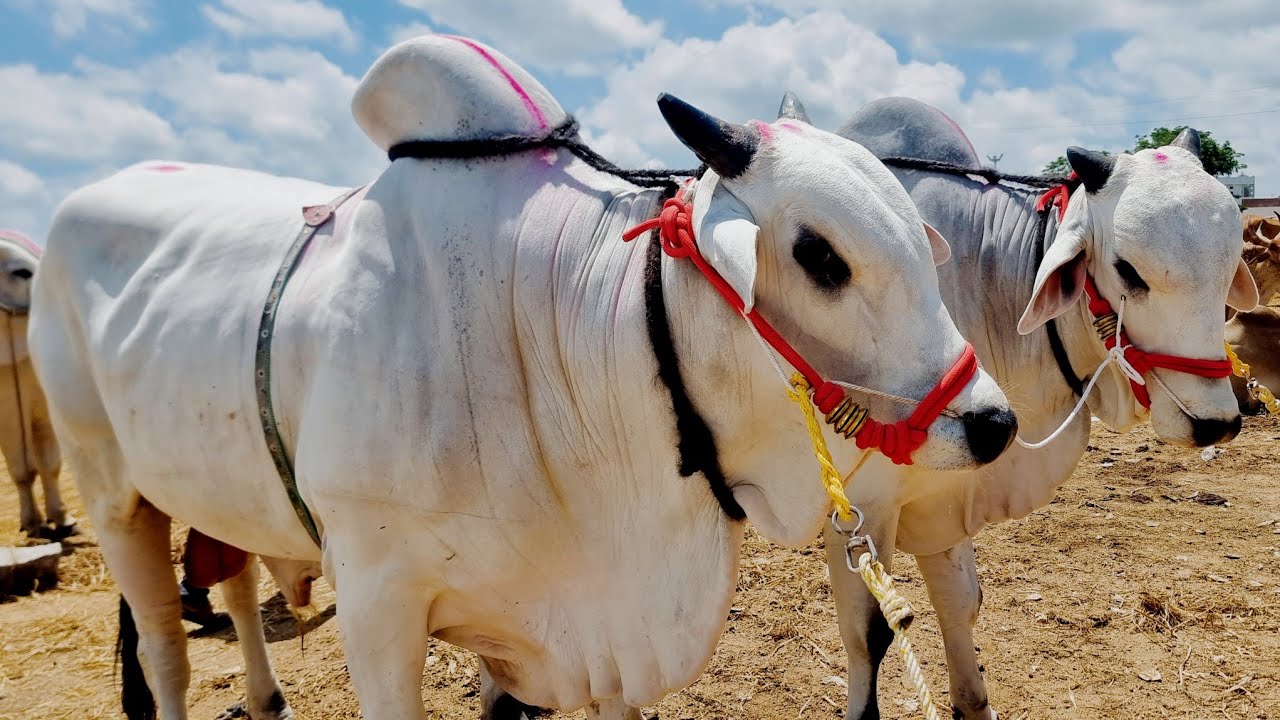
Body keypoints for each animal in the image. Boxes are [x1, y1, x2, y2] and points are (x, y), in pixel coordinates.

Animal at [28, 37, 1016, 720]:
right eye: (820, 255)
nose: (993, 422)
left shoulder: (587, 628)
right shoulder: (379, 605)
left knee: (228, 581)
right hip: (111, 492)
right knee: (162, 650)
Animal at [802, 97, 1258, 720]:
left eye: (1230, 265)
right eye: (1128, 271)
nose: (1215, 422)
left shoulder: (945, 494)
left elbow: (962, 602)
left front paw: (974, 703)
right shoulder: (861, 508)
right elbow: (870, 637)